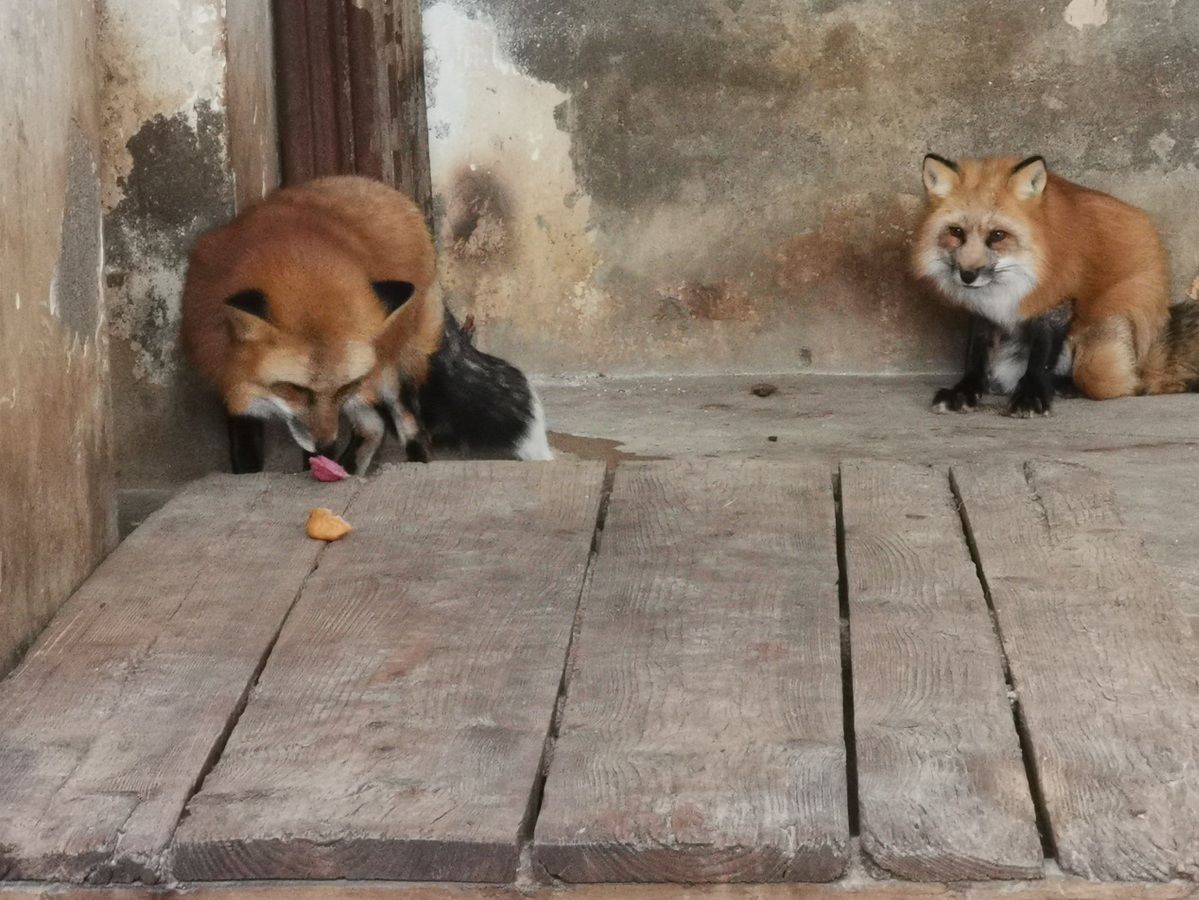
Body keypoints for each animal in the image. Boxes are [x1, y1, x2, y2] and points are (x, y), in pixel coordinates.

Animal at [906, 154, 1199, 414]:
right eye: (956, 232)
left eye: (998, 235)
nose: (968, 275)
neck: (1008, 287)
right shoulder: (982, 312)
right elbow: (974, 357)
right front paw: (964, 391)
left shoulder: (1054, 300)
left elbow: (1040, 360)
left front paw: (1031, 395)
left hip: (1100, 350)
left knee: (1122, 383)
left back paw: (1063, 386)